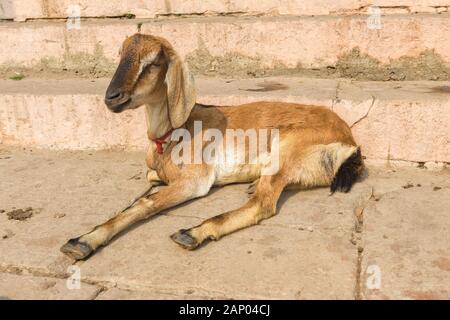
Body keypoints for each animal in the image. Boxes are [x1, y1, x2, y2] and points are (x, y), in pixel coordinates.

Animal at [59, 34, 364, 260]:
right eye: (120, 55)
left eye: (152, 63)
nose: (112, 97)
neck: (173, 134)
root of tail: (349, 142)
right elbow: (148, 186)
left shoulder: (195, 179)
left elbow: (146, 202)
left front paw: (83, 241)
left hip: (287, 147)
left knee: (263, 204)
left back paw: (193, 233)